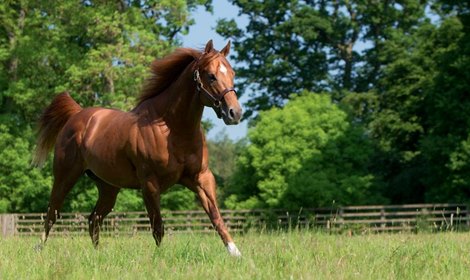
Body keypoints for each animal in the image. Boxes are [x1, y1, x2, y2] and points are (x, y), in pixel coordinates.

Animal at [34, 40, 242, 258]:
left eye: (232, 73)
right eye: (211, 75)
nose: (235, 113)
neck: (172, 129)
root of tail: (77, 114)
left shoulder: (201, 177)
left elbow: (216, 217)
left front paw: (235, 253)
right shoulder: (149, 183)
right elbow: (158, 226)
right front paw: (159, 257)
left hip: (108, 187)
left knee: (93, 219)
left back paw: (99, 254)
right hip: (65, 176)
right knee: (52, 213)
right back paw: (38, 248)